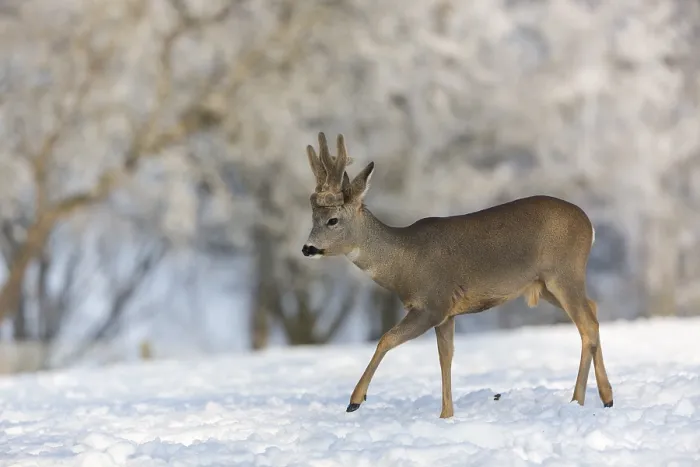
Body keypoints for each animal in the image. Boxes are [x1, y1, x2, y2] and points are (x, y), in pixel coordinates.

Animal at [301, 132, 614, 419]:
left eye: (332, 220)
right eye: (312, 218)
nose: (307, 248)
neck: (404, 263)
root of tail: (590, 225)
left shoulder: (433, 304)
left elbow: (386, 339)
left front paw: (355, 400)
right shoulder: (447, 313)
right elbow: (445, 357)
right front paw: (446, 415)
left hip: (564, 272)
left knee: (587, 324)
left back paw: (589, 398)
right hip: (546, 285)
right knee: (593, 311)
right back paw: (596, 398)